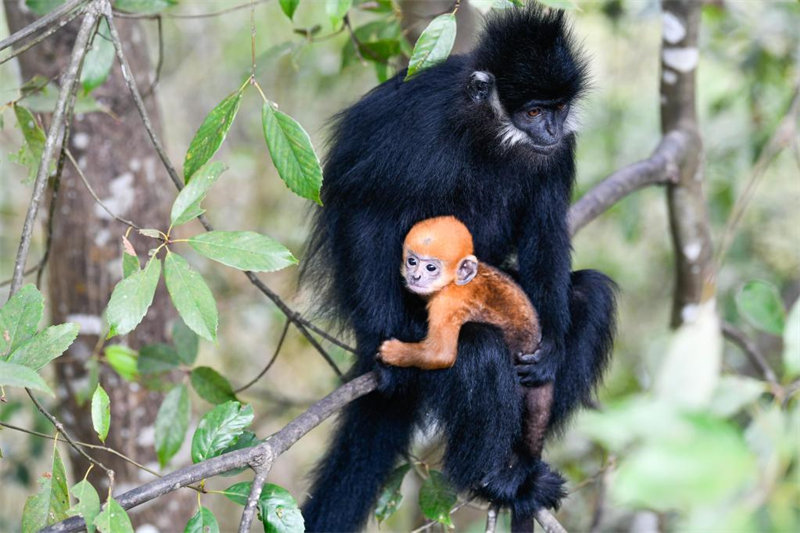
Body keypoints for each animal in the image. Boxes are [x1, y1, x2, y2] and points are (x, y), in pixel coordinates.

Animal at [378, 214, 552, 456]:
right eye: (412, 261)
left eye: (431, 267)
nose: (416, 275)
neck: (455, 283)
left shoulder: (447, 303)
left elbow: (441, 355)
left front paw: (392, 352)